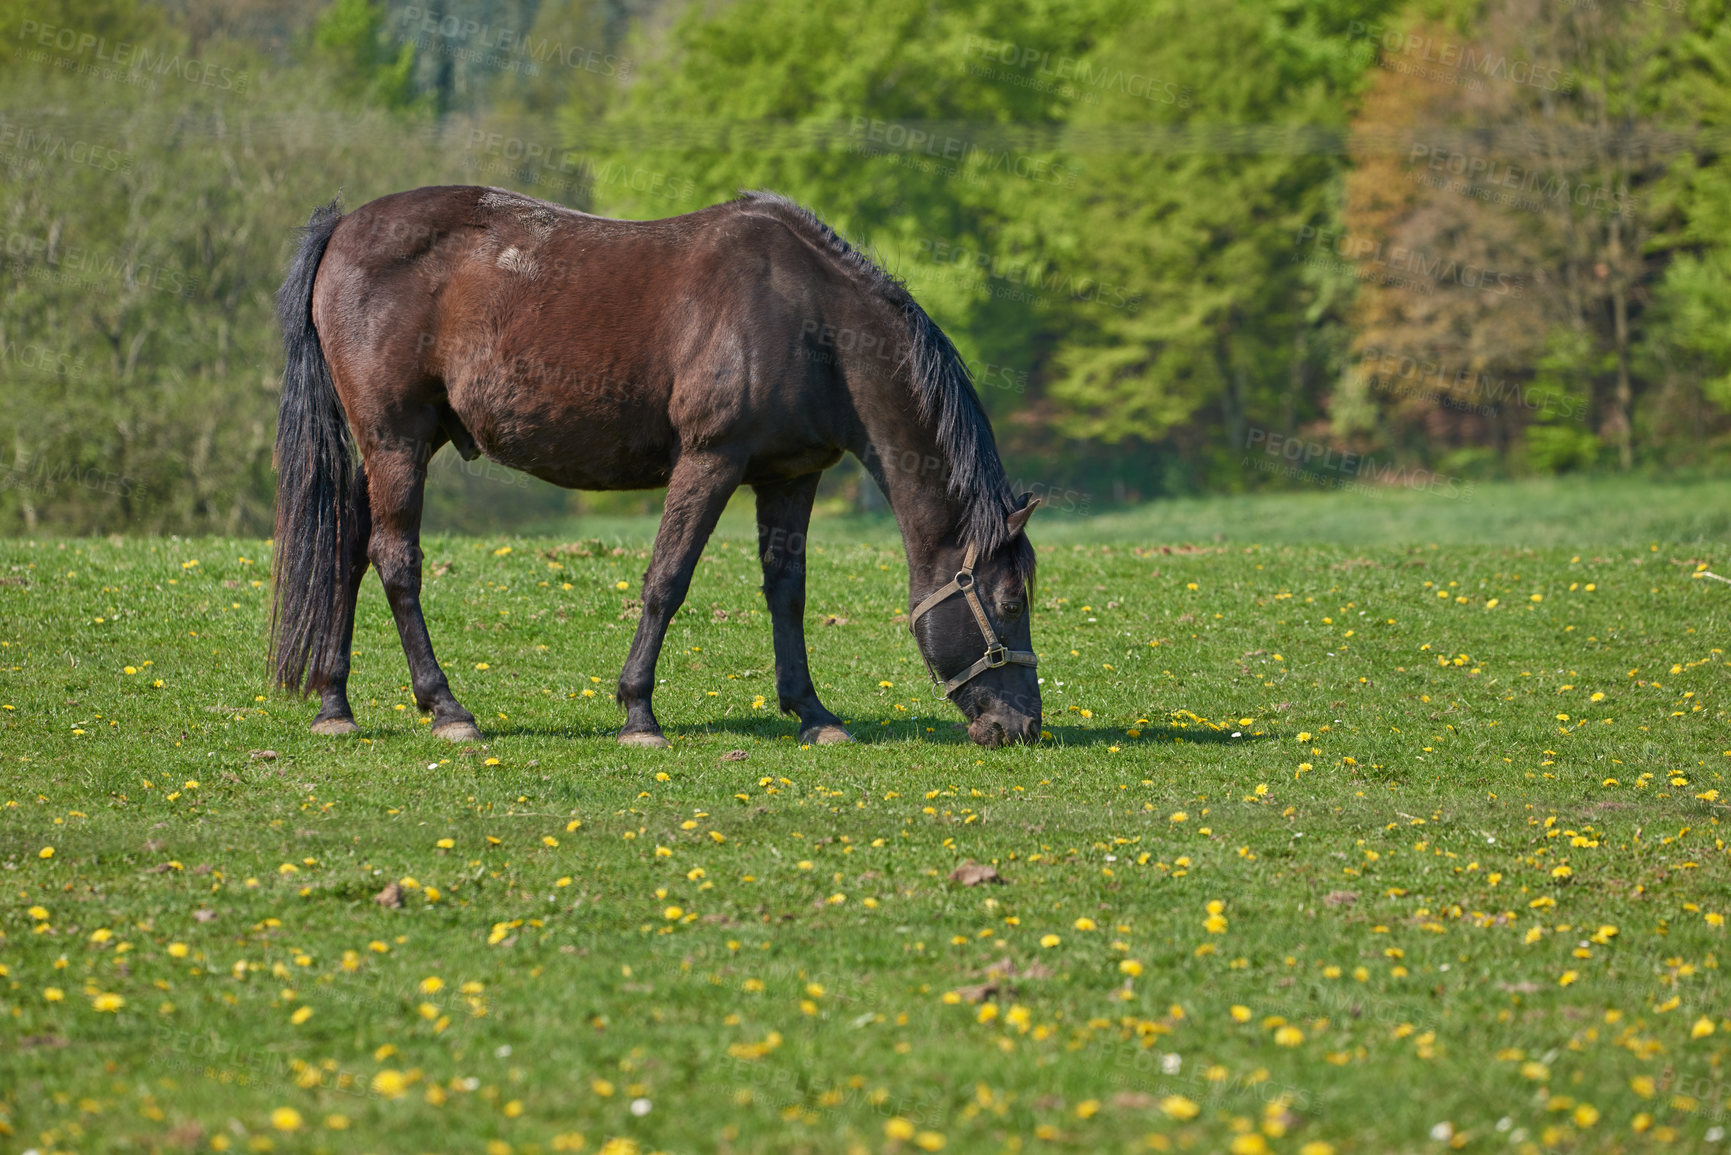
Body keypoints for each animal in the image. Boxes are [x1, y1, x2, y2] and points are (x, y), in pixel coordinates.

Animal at [263, 184, 1031, 751]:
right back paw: (447, 707)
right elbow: (667, 579)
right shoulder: (709, 460)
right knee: (395, 559)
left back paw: (334, 703)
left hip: (400, 447)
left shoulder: (789, 475)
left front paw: (813, 712)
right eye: (1011, 601)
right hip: (394, 440)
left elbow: (786, 591)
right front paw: (638, 713)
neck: (811, 320)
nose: (1022, 724)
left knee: (346, 549)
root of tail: (342, 227)